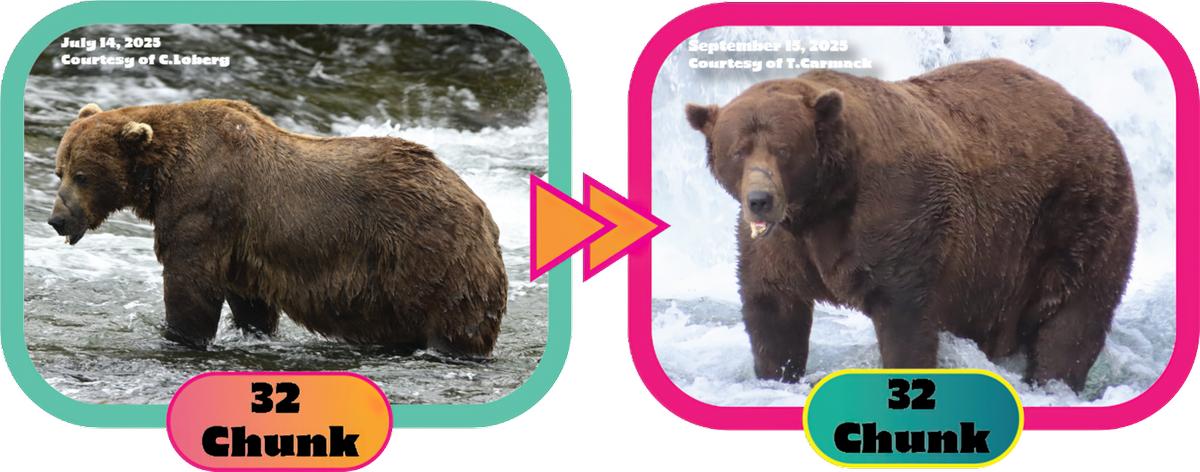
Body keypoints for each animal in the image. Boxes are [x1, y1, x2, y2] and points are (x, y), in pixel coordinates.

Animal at [47, 99, 508, 357]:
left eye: (82, 175)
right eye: (60, 170)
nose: (57, 219)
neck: (160, 173)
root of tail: (481, 208)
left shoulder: (204, 204)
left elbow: (190, 282)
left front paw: (178, 336)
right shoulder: (241, 243)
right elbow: (248, 300)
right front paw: (250, 332)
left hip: (428, 251)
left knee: (454, 318)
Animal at [685, 58, 1137, 392]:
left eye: (783, 149)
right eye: (738, 150)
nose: (760, 200)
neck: (823, 202)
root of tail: (1094, 118)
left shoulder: (898, 215)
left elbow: (904, 316)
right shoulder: (781, 245)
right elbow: (773, 308)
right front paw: (776, 375)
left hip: (1077, 216)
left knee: (1073, 318)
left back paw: (1053, 381)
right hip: (996, 267)